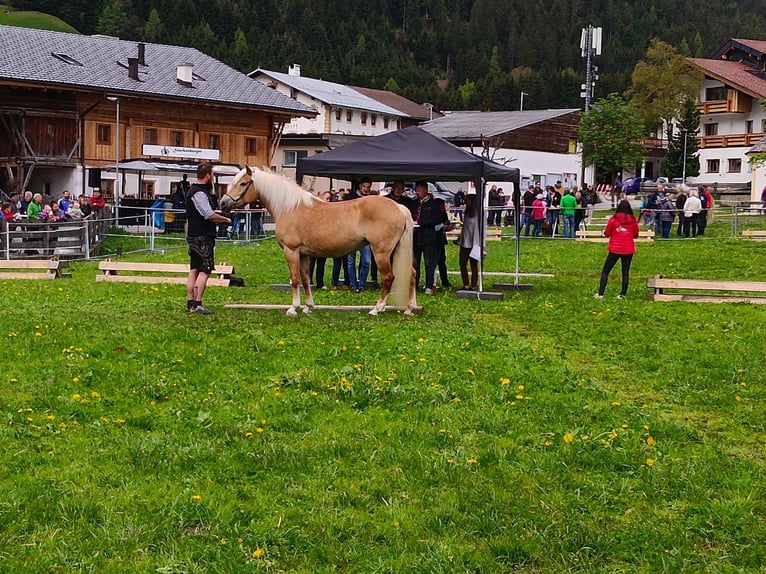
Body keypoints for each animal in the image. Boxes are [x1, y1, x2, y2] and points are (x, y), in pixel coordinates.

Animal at [219, 166, 416, 320]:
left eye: (243, 183)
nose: (223, 203)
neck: (289, 207)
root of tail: (398, 207)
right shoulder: (304, 254)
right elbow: (306, 279)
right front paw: (308, 306)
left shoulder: (291, 251)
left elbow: (295, 279)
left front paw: (293, 308)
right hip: (394, 251)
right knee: (412, 274)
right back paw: (410, 308)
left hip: (381, 252)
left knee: (389, 277)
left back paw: (377, 309)